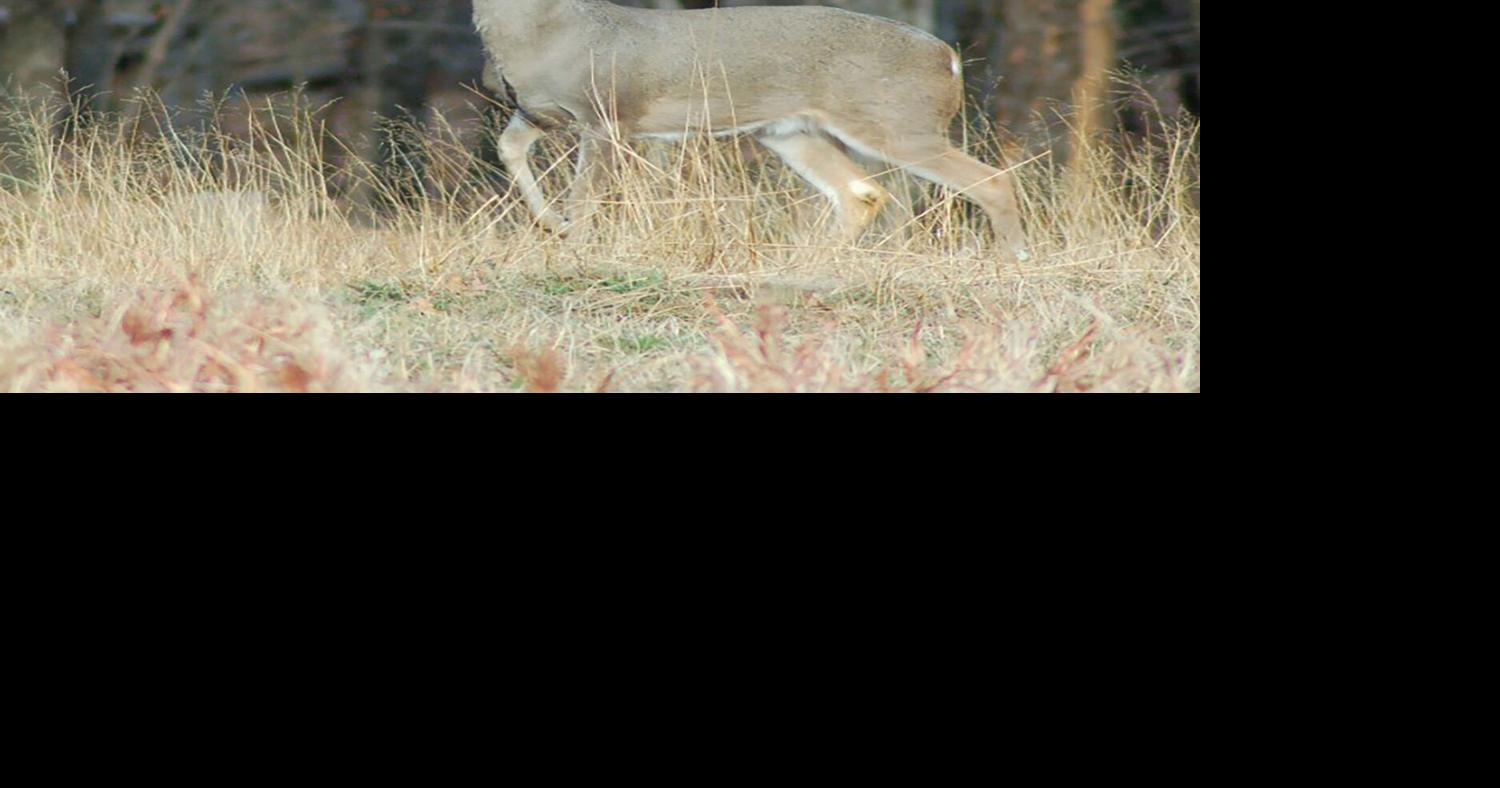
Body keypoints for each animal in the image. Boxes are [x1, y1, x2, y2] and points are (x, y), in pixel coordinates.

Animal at [474, 0, 1026, 256]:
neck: (548, 32)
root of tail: (948, 58)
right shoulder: (537, 111)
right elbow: (508, 148)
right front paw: (554, 225)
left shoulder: (608, 115)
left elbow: (586, 195)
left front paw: (578, 247)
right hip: (789, 132)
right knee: (862, 193)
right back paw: (808, 261)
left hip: (898, 124)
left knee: (992, 180)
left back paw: (1012, 259)